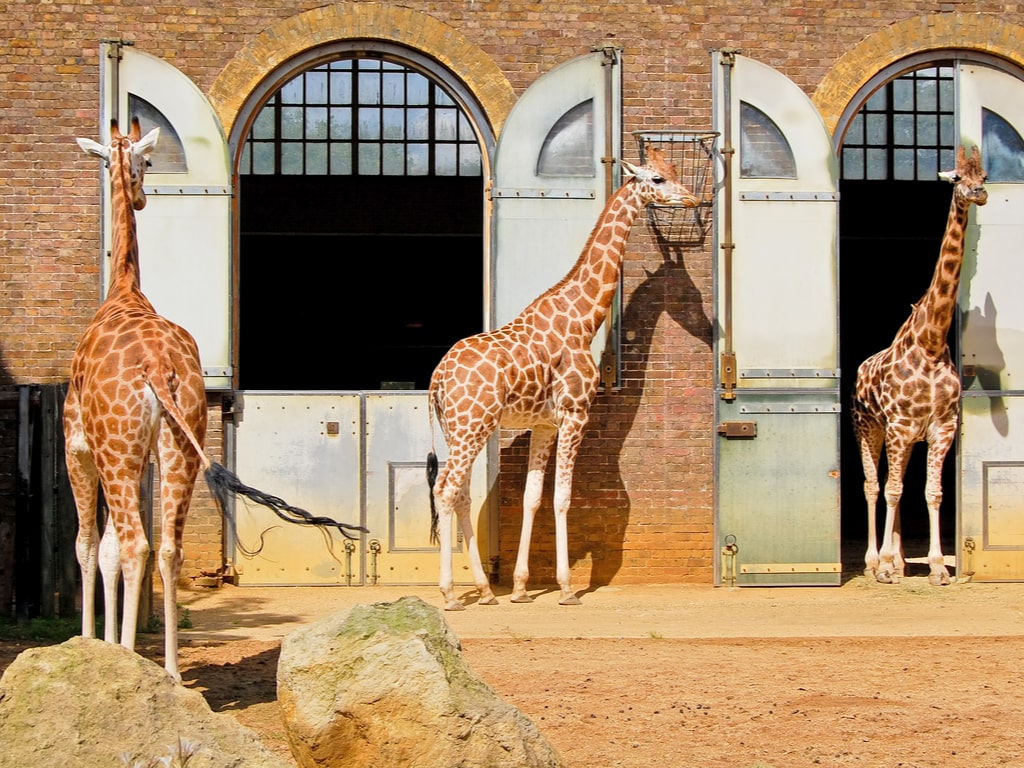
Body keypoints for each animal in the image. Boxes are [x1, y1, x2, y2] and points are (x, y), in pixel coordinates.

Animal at [68, 117, 366, 684]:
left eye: (148, 161)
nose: (142, 196)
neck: (122, 290)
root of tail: (155, 367)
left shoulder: (79, 448)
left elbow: (91, 545)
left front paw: (95, 645)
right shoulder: (137, 456)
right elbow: (107, 545)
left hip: (121, 450)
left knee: (135, 543)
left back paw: (139, 662)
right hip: (180, 446)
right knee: (169, 547)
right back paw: (169, 671)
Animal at [425, 147, 704, 610]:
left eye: (676, 171)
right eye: (658, 179)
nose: (693, 199)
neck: (583, 318)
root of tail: (437, 378)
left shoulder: (545, 424)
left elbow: (532, 498)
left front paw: (521, 587)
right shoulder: (576, 414)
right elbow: (562, 498)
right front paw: (568, 587)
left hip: (460, 429)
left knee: (460, 492)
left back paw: (486, 590)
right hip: (472, 425)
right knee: (446, 490)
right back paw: (449, 594)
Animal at [851, 145, 987, 589]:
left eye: (984, 175)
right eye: (958, 177)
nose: (979, 194)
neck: (930, 343)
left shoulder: (940, 428)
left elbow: (932, 492)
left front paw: (939, 568)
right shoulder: (897, 427)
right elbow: (891, 490)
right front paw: (884, 567)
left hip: (907, 440)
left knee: (898, 483)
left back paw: (897, 561)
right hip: (869, 428)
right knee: (874, 485)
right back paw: (875, 563)